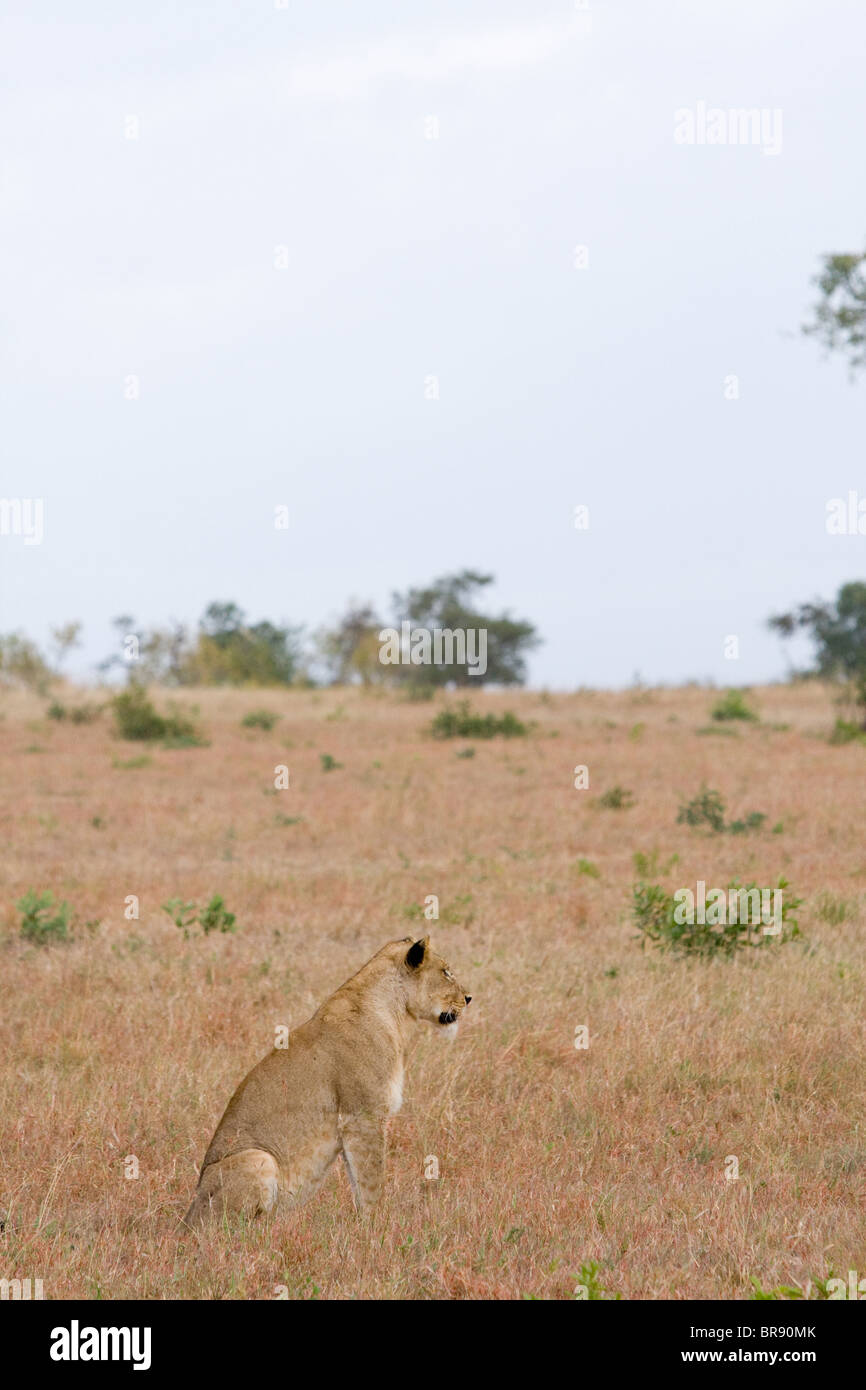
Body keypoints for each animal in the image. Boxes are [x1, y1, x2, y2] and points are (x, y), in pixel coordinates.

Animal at [182, 936, 471, 1228]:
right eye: (446, 972)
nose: (469, 998)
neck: (396, 1015)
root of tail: (185, 1221)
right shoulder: (363, 1117)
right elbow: (372, 1180)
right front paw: (377, 1224)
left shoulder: (354, 1126)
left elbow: (358, 1180)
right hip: (257, 1158)